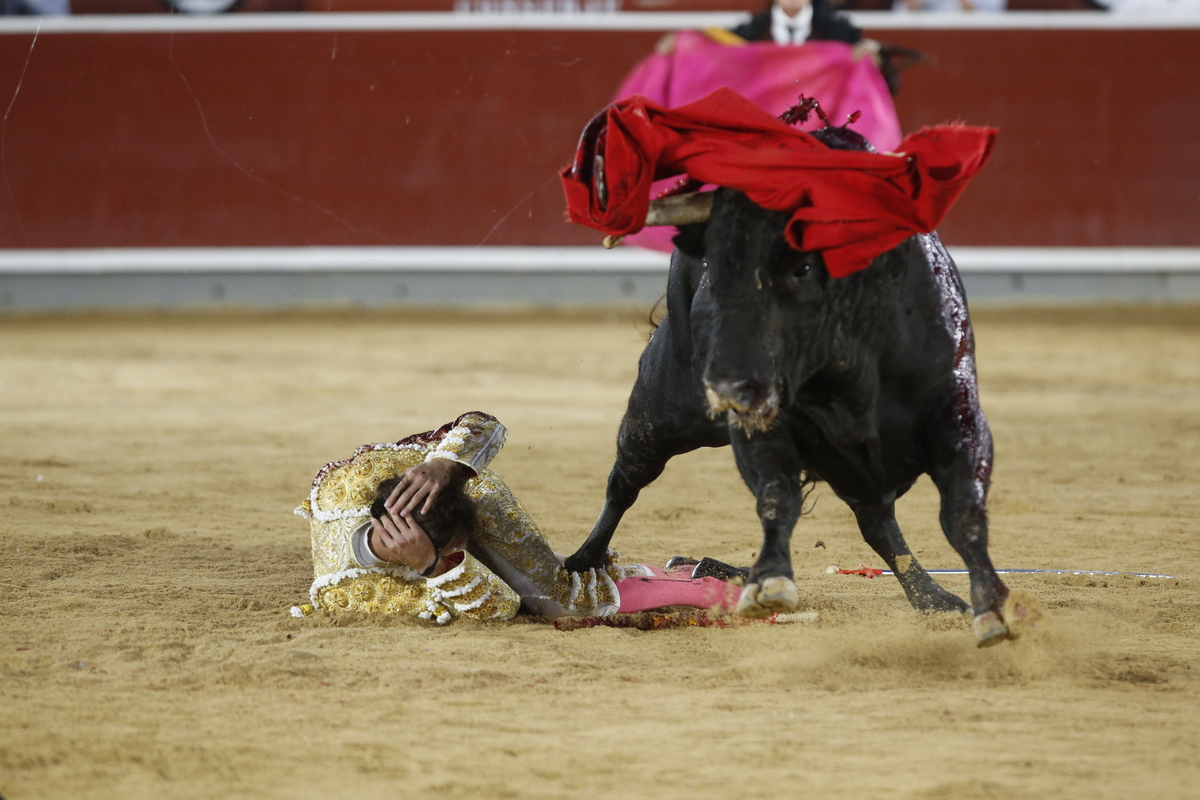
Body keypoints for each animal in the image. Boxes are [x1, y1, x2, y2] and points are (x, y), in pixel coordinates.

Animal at [566, 189, 1017, 652]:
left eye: (803, 270)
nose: (732, 376)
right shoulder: (766, 433)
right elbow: (778, 499)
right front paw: (770, 582)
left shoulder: (958, 422)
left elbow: (959, 514)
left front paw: (981, 607)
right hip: (662, 415)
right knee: (626, 480)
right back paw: (583, 563)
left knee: (878, 524)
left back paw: (930, 597)